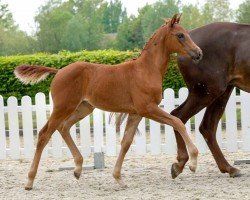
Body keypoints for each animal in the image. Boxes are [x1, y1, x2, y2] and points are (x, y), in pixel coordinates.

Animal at [14, 13, 203, 189]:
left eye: (187, 33)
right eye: (180, 35)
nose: (199, 53)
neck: (146, 70)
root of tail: (59, 71)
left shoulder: (136, 113)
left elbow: (126, 142)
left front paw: (118, 178)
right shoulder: (148, 108)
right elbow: (177, 122)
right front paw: (193, 162)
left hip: (83, 108)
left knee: (64, 127)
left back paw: (78, 169)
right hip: (63, 108)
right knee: (44, 134)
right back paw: (30, 180)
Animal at [171, 21, 250, 178]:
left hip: (220, 93)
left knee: (207, 127)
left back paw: (228, 168)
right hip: (206, 93)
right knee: (179, 116)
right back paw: (181, 163)